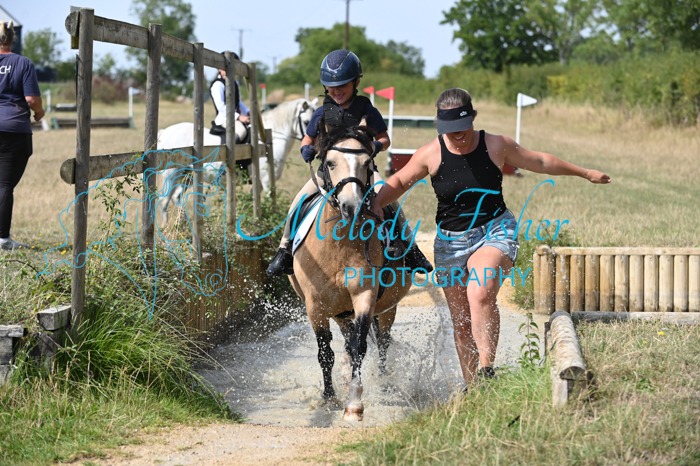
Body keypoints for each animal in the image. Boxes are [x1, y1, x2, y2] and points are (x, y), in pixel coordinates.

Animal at [156, 98, 317, 222]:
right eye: (307, 122)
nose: (314, 148)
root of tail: (165, 132)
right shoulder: (266, 180)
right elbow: (269, 200)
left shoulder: (258, 183)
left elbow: (254, 201)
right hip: (172, 175)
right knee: (164, 201)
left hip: (187, 176)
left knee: (176, 197)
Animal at [288, 122, 412, 421]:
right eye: (330, 162)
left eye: (367, 163)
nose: (351, 206)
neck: (340, 243)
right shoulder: (316, 306)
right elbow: (325, 352)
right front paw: (329, 397)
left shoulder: (365, 295)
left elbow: (361, 346)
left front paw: (354, 402)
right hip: (340, 313)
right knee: (346, 343)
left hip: (385, 309)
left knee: (382, 342)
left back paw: (383, 383)